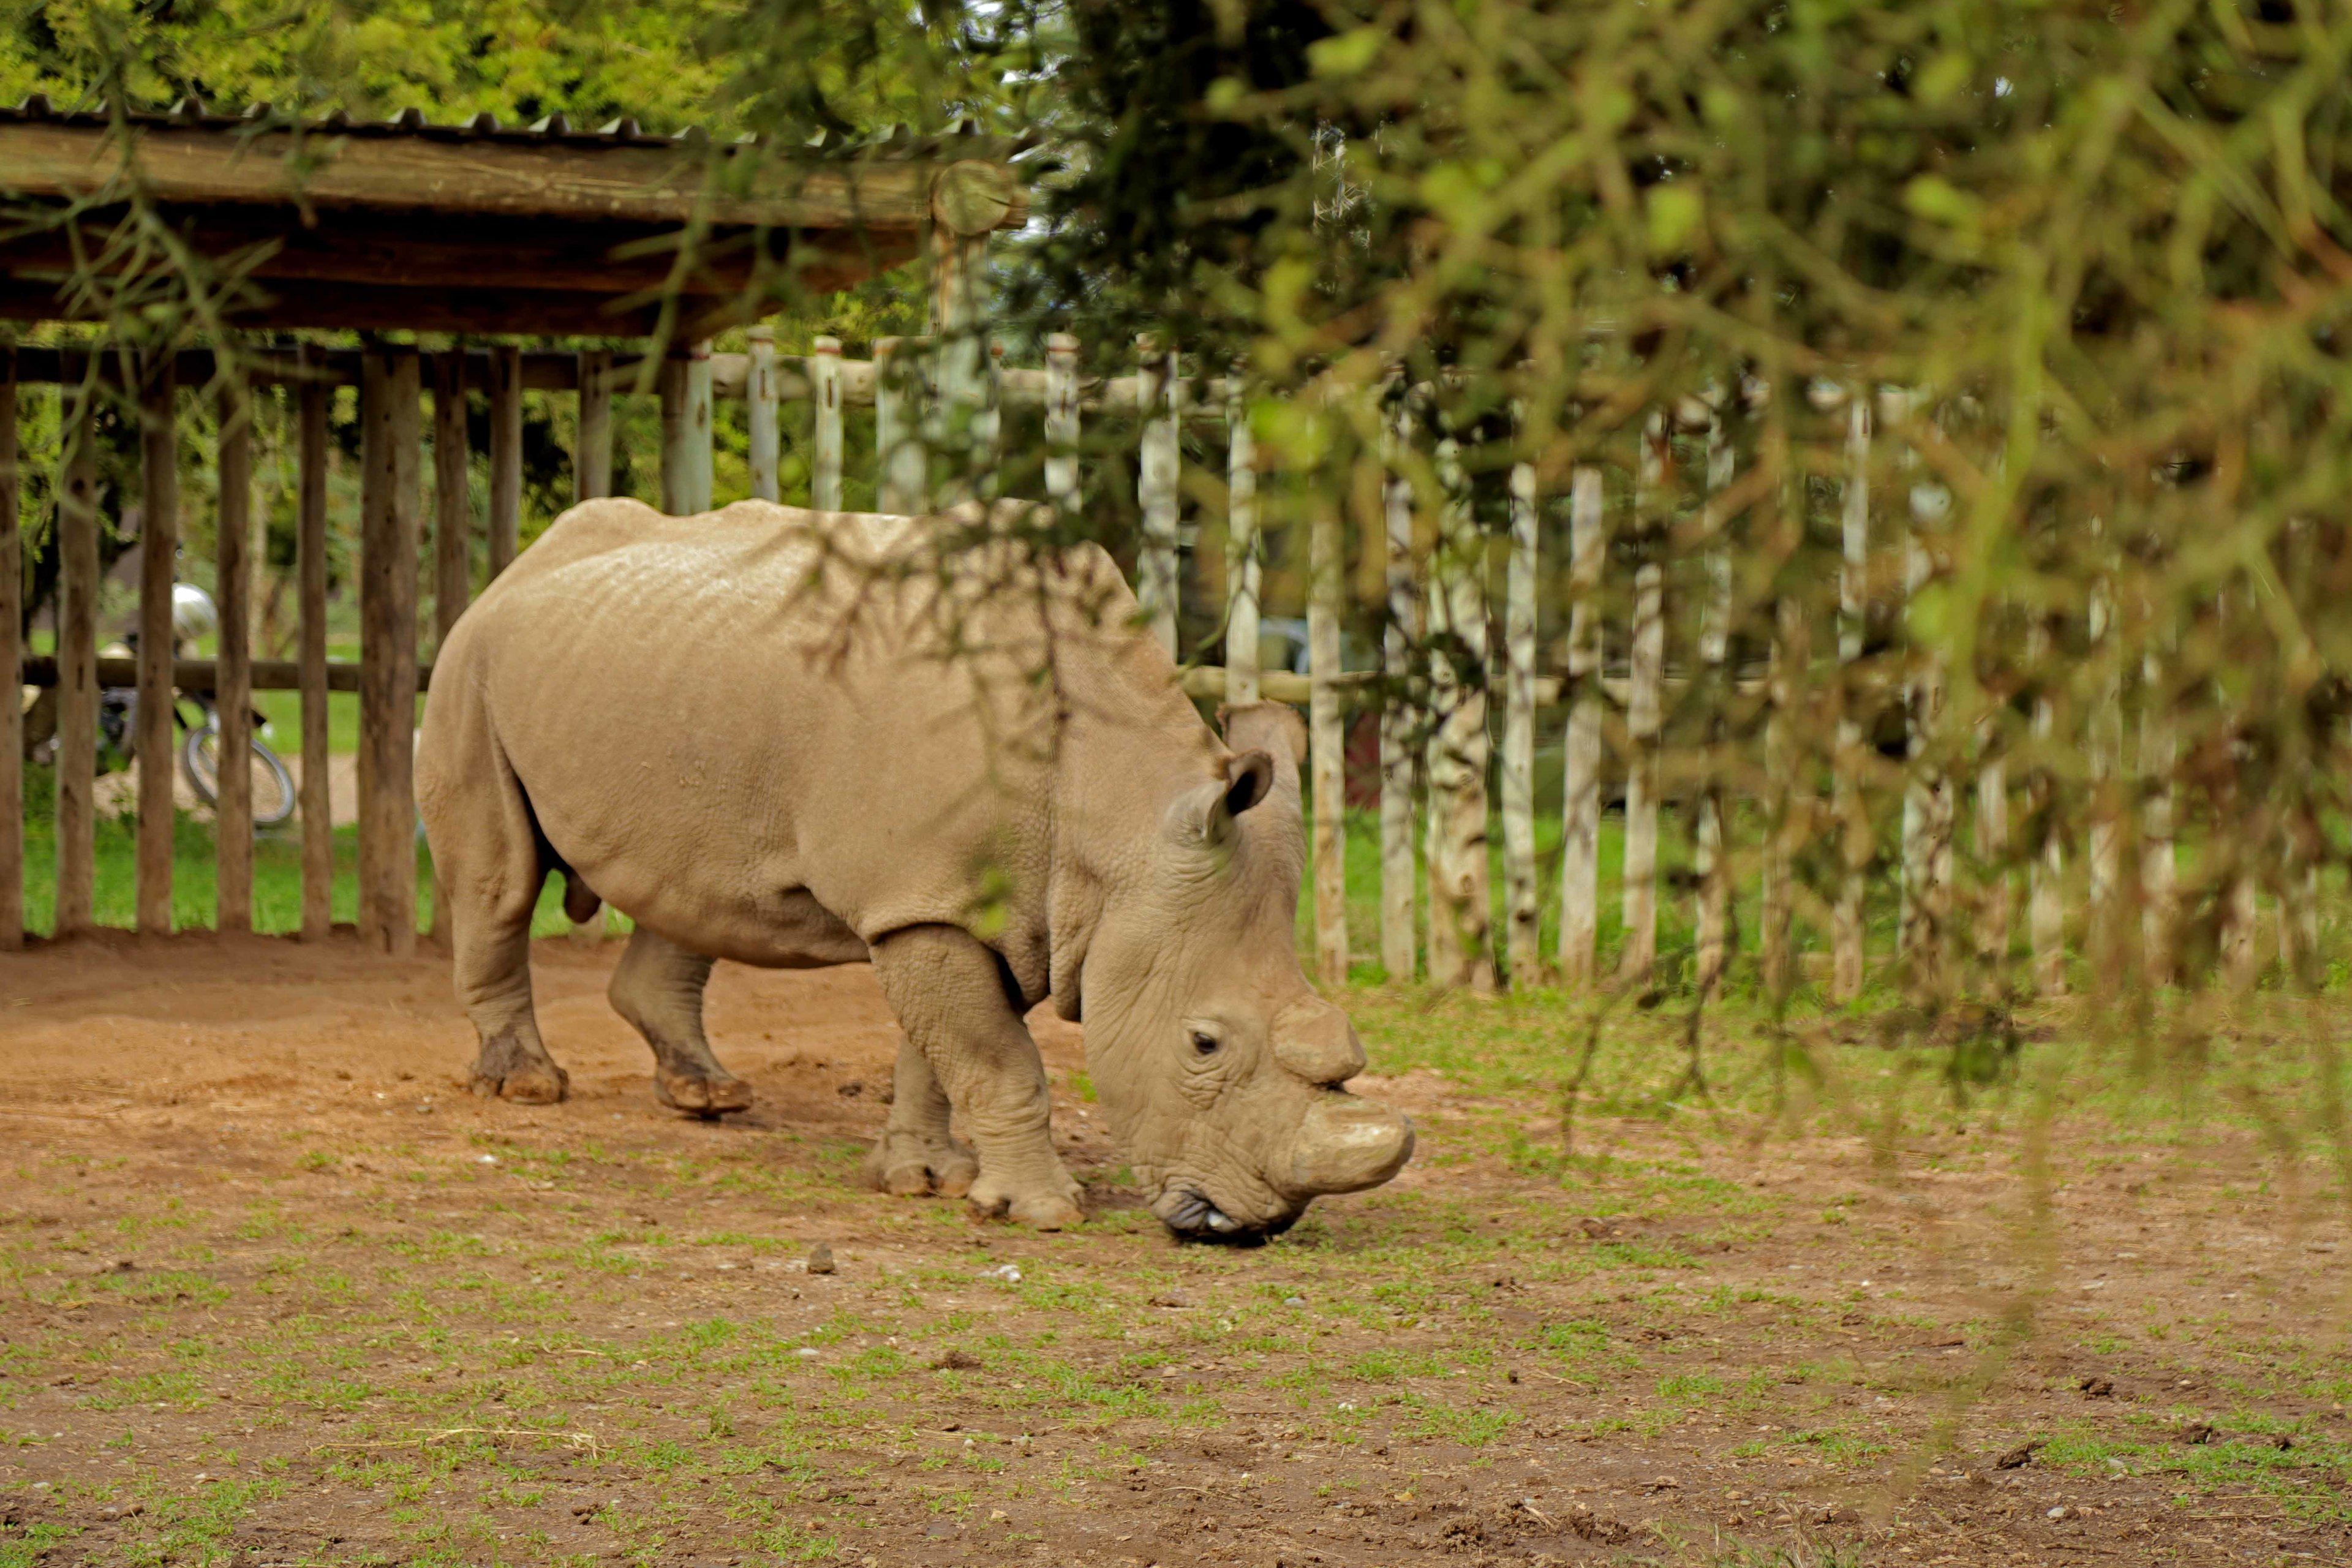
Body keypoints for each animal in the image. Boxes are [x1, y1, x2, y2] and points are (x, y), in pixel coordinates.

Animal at [416, 498, 1414, 1237]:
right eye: (1203, 1043)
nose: (1255, 1224)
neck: (1119, 813)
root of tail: (517, 568)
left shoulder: (977, 902)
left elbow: (941, 1050)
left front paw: (926, 1179)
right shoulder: (928, 902)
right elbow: (997, 1057)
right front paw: (1043, 1211)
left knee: (691, 890)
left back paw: (708, 1096)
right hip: (469, 663)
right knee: (500, 882)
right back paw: (527, 1088)